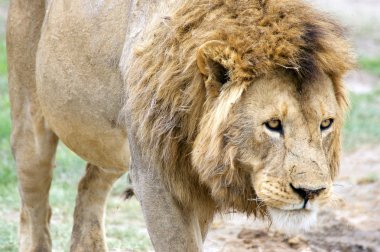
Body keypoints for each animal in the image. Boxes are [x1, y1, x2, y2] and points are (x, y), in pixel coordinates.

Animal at [6, 0, 354, 251]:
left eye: (325, 124)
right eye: (273, 124)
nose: (311, 192)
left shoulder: (193, 186)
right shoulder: (155, 180)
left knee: (88, 186)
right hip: (31, 123)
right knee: (34, 209)